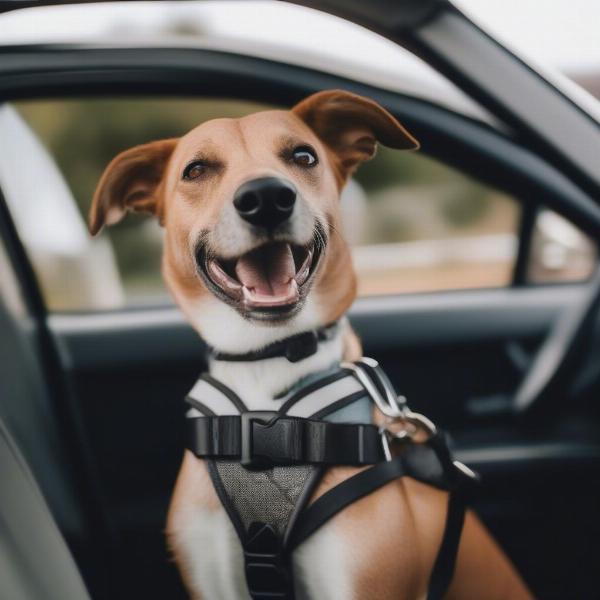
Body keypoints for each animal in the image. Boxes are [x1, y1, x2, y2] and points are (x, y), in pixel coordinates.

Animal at [88, 90, 528, 600]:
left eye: (303, 156)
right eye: (196, 170)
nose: (265, 198)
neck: (268, 361)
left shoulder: (359, 579)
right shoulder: (211, 574)